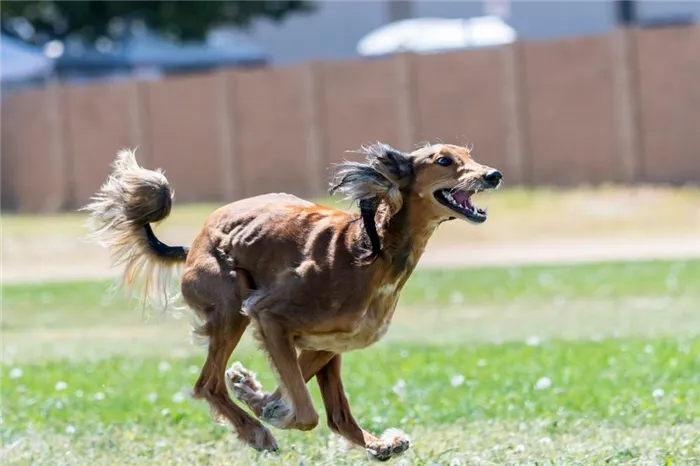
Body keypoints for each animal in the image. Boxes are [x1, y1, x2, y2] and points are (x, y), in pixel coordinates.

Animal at [83, 142, 504, 462]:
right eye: (444, 160)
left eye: (468, 154)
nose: (493, 175)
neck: (371, 249)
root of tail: (194, 244)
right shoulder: (269, 315)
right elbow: (304, 412)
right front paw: (267, 415)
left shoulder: (329, 342)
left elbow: (313, 405)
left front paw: (256, 394)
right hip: (231, 305)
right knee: (207, 385)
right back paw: (255, 432)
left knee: (335, 415)